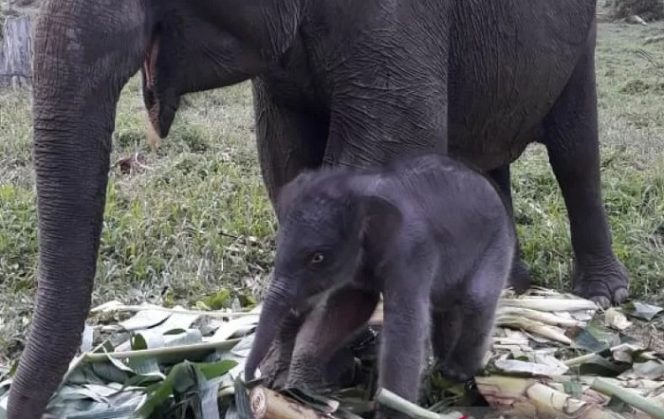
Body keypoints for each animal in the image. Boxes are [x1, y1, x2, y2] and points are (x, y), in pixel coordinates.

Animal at [243, 153, 516, 417]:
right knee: (446, 307)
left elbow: (406, 324)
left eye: (317, 258)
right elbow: (350, 307)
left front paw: (393, 410)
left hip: (498, 246)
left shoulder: (412, 251)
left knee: (477, 299)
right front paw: (300, 388)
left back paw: (456, 372)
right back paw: (441, 367)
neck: (362, 188)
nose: (252, 383)